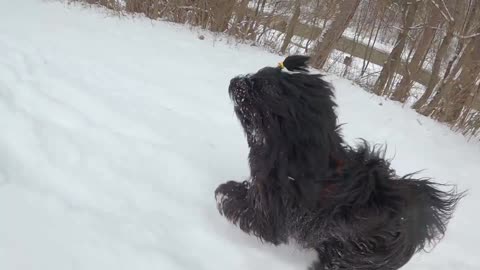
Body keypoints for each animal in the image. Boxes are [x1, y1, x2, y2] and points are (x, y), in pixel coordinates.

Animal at [214, 56, 462, 268]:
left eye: (264, 86)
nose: (234, 81)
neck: (295, 145)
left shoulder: (274, 208)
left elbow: (250, 212)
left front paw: (225, 193)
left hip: (356, 254)